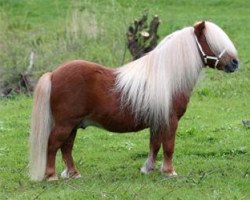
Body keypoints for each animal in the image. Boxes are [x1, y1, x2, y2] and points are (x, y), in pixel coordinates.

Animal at [28, 20, 238, 181]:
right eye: (212, 42)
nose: (235, 63)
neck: (166, 76)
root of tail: (53, 74)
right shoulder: (170, 120)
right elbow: (169, 146)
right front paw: (169, 171)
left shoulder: (157, 121)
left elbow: (155, 145)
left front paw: (148, 169)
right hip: (65, 124)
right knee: (53, 145)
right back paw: (51, 176)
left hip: (73, 125)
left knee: (66, 148)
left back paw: (73, 174)